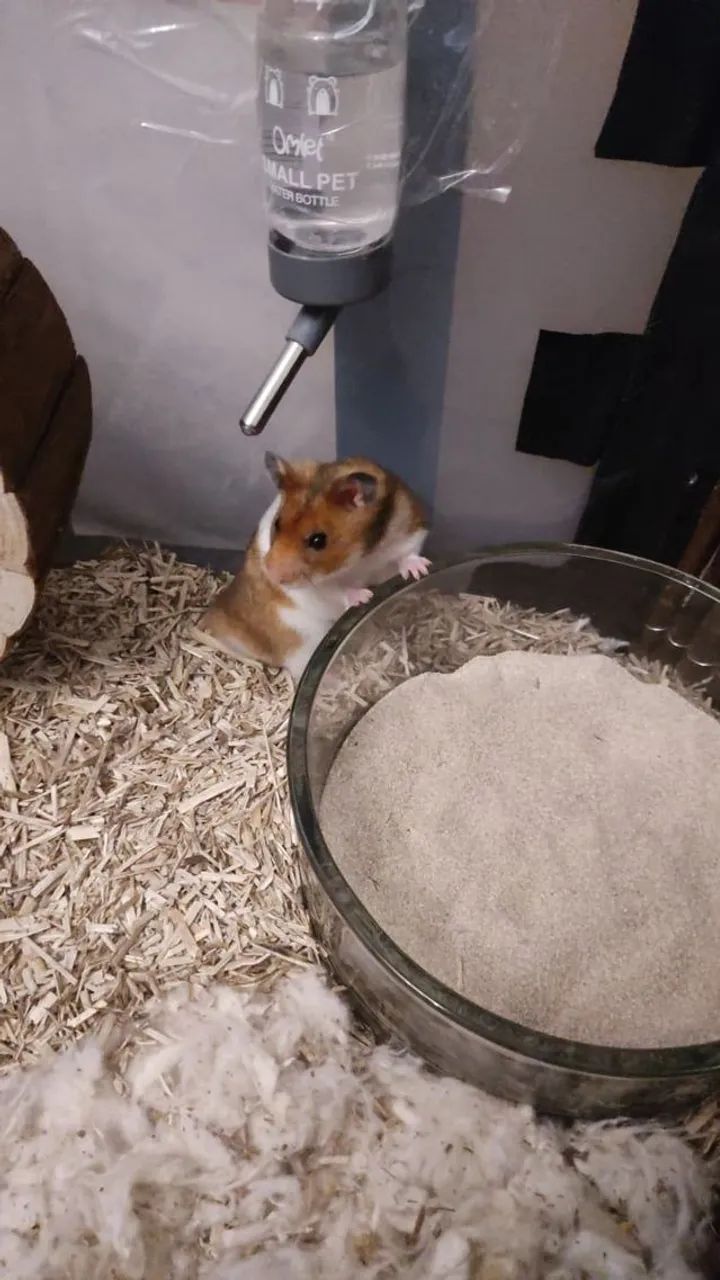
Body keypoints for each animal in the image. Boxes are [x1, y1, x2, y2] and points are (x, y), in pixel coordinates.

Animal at [199, 452, 430, 681]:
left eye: (318, 540)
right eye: (277, 524)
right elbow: (339, 590)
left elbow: (408, 554)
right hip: (303, 642)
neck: (361, 557)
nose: (271, 574)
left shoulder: (409, 529)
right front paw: (365, 597)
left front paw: (421, 570)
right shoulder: (316, 589)